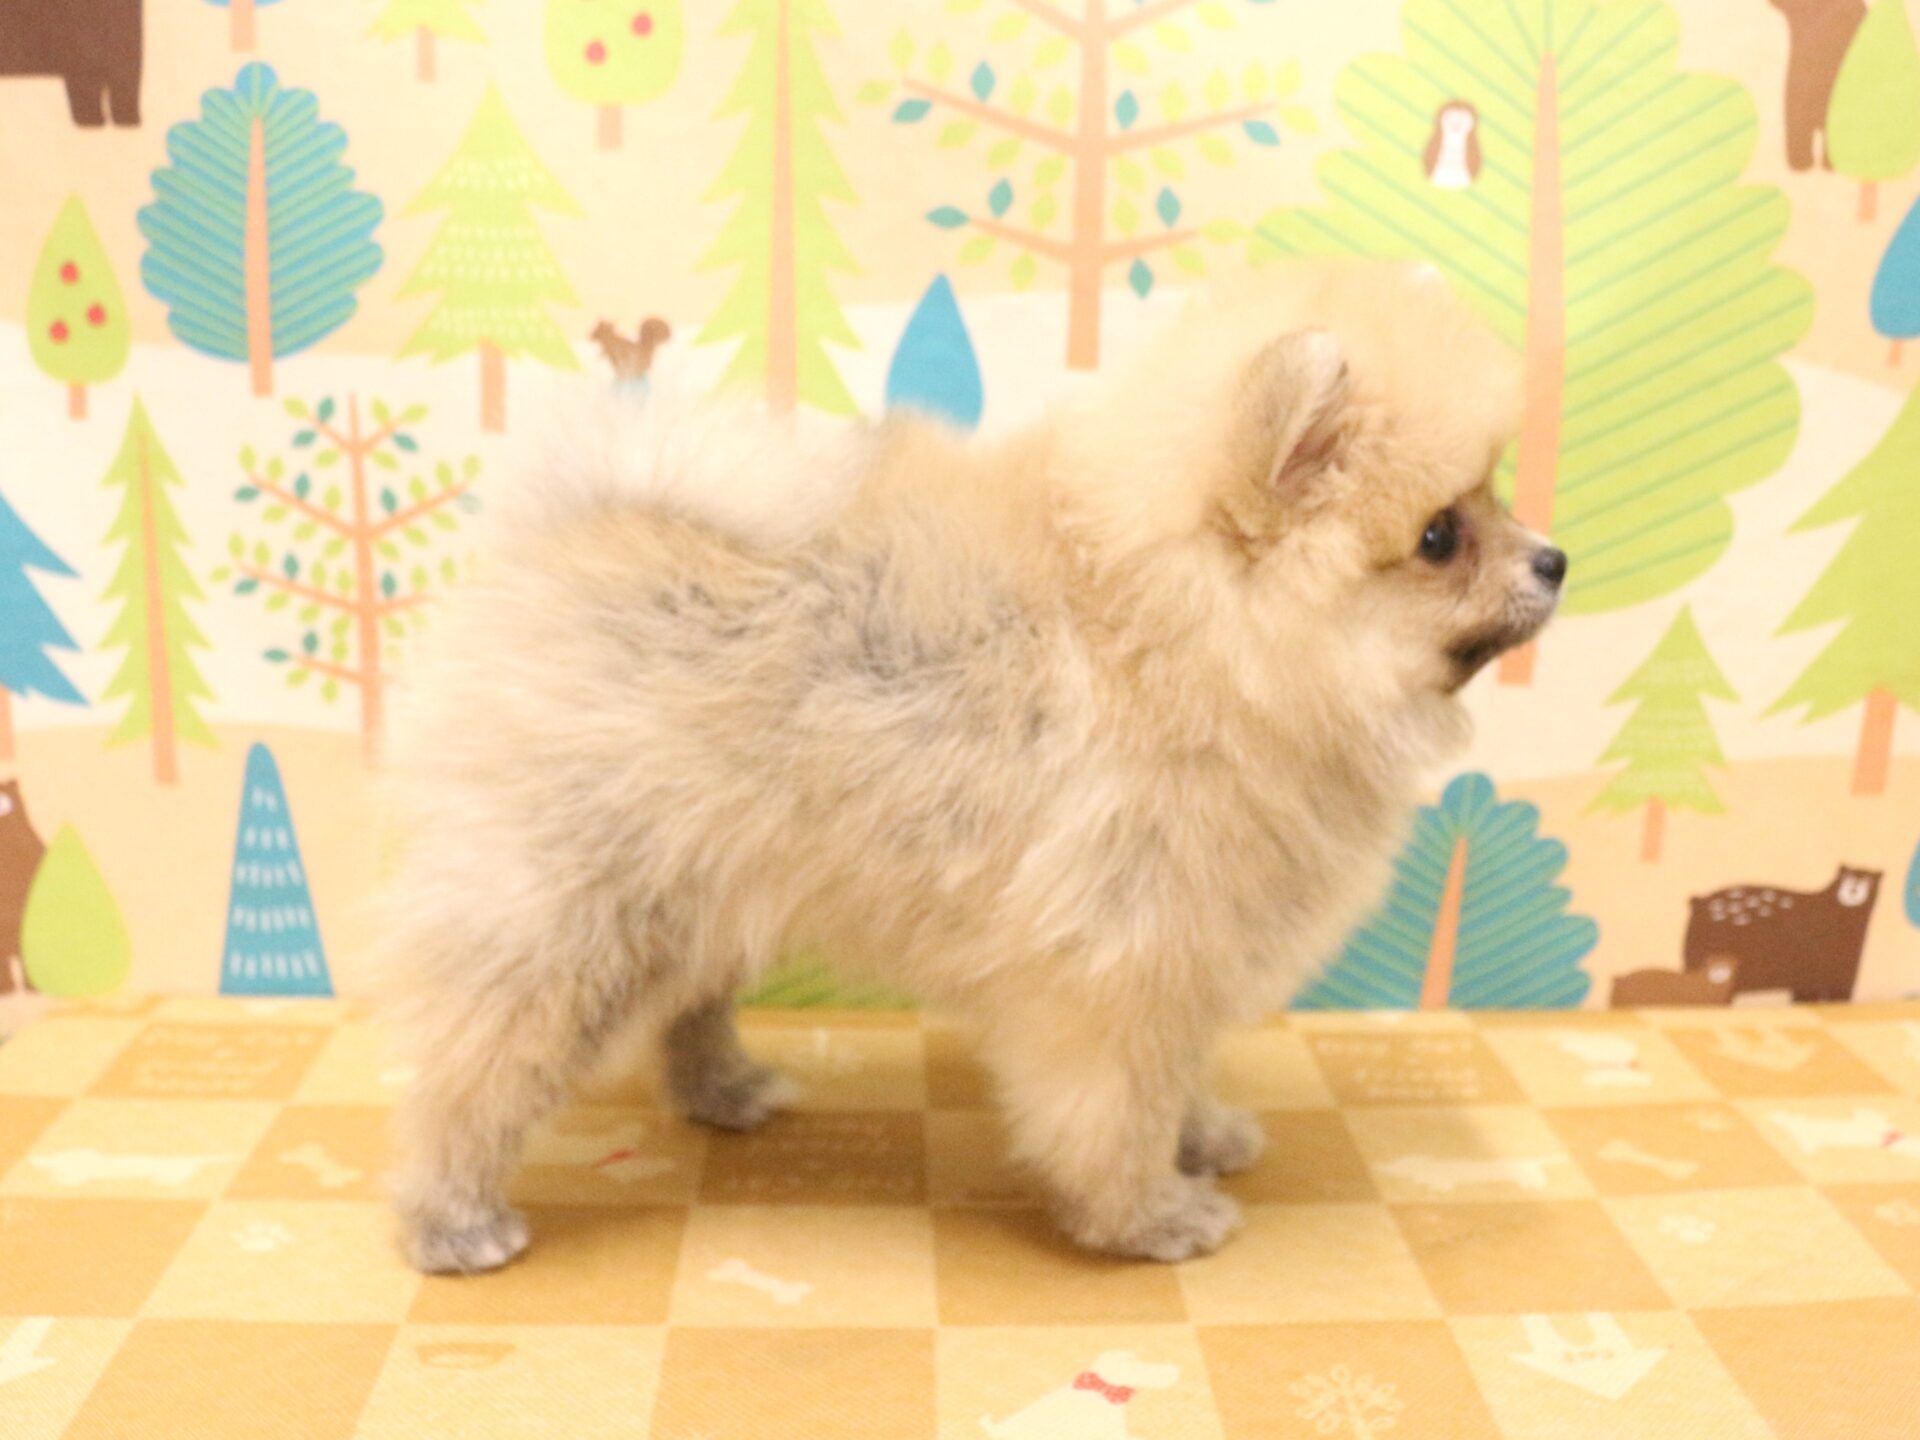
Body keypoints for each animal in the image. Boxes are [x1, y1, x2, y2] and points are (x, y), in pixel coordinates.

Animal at [377, 260, 1563, 1272]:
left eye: (1493, 500)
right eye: (1441, 537)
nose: (1554, 559)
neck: (1172, 638)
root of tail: (566, 540)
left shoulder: (1181, 951)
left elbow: (1175, 1074)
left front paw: (1202, 1137)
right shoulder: (1118, 961)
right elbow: (1114, 1108)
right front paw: (1150, 1214)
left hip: (687, 892)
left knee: (687, 1008)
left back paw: (726, 1089)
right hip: (571, 914)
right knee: (470, 1072)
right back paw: (452, 1220)